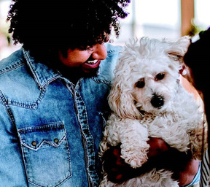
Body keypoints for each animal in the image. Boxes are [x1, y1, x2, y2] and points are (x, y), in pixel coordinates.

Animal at [99, 36, 207, 187]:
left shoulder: (187, 117)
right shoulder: (114, 128)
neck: (159, 114)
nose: (158, 100)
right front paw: (135, 154)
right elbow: (130, 126)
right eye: (139, 83)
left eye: (160, 75)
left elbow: (196, 128)